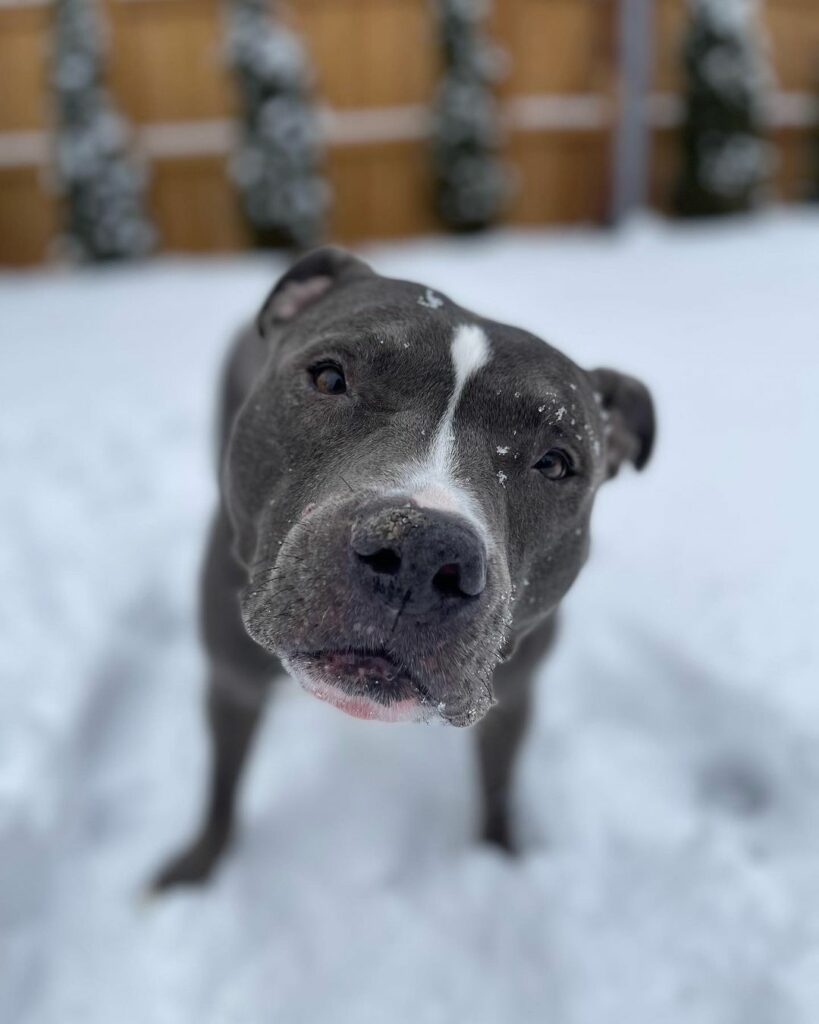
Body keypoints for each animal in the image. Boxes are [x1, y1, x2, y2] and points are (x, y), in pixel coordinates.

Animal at [151, 245, 651, 888]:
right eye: (329, 378)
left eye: (555, 463)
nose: (422, 552)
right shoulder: (231, 679)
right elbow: (222, 782)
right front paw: (198, 868)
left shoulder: (515, 696)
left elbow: (498, 786)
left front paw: (500, 856)